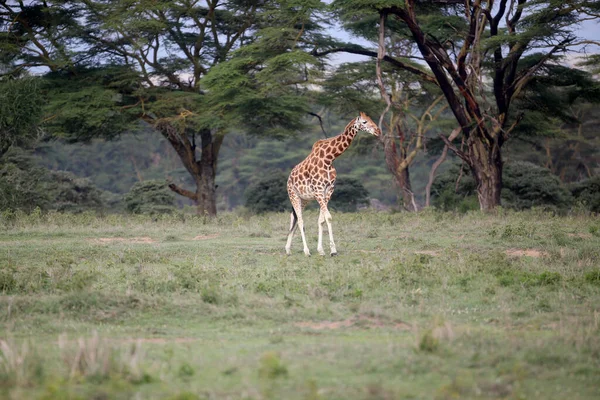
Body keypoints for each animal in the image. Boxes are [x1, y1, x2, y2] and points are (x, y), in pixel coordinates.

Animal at [284, 112, 380, 256]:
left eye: (371, 119)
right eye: (364, 122)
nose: (378, 131)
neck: (329, 158)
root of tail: (289, 178)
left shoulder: (328, 190)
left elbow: (322, 220)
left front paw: (322, 250)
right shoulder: (318, 190)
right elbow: (328, 217)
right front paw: (333, 251)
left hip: (304, 199)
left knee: (293, 216)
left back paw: (288, 249)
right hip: (293, 195)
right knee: (300, 220)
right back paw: (306, 251)